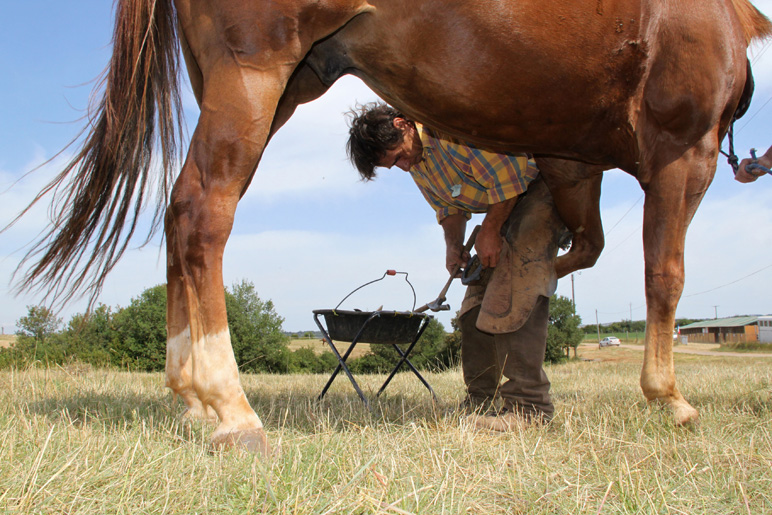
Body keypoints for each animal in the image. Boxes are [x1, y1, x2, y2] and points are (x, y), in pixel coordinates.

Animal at [12, 0, 772, 454]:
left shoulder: (572, 162)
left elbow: (577, 249)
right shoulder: (683, 152)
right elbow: (662, 276)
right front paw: (669, 398)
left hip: (265, 87)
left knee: (178, 216)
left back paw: (193, 400)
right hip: (252, 77)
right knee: (201, 212)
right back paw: (231, 409)